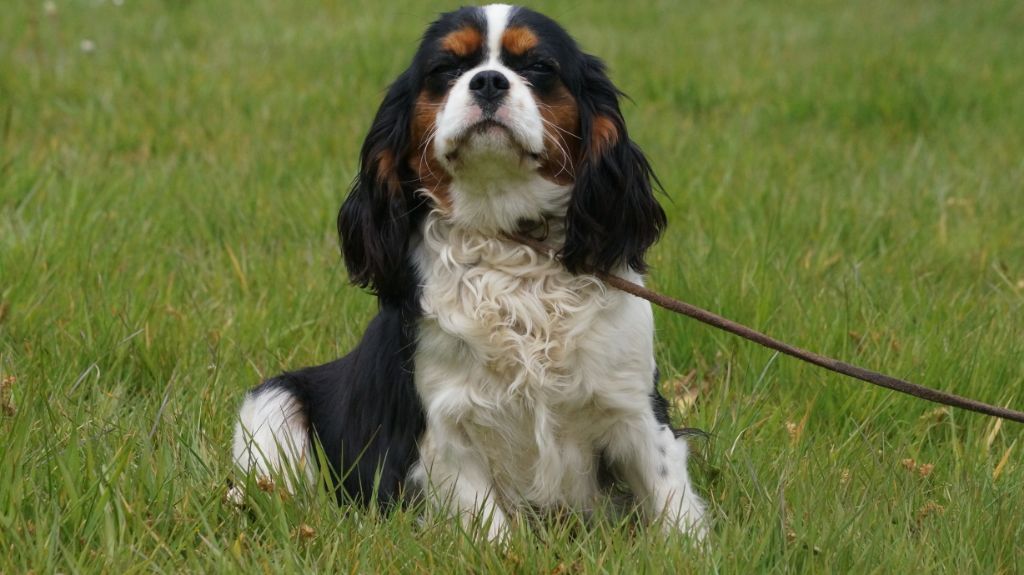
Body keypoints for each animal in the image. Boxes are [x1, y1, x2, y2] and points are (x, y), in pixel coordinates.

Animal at [232, 4, 707, 541]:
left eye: (538, 66)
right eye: (446, 69)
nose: (488, 81)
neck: (507, 239)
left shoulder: (634, 408)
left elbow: (671, 497)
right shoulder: (446, 432)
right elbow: (490, 528)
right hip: (270, 403)